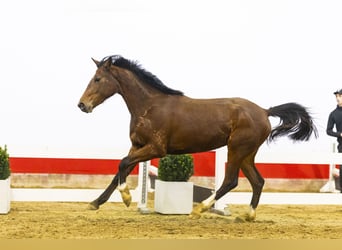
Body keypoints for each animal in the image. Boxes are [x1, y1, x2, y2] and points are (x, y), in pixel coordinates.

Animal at [78, 55, 318, 221]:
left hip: (236, 149)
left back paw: (199, 209)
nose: (82, 105)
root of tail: (264, 111)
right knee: (258, 181)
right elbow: (120, 170)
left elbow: (122, 164)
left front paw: (126, 197)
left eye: (98, 79)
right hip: (247, 154)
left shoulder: (156, 148)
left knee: (230, 181)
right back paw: (247, 216)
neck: (149, 106)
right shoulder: (137, 146)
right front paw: (95, 203)